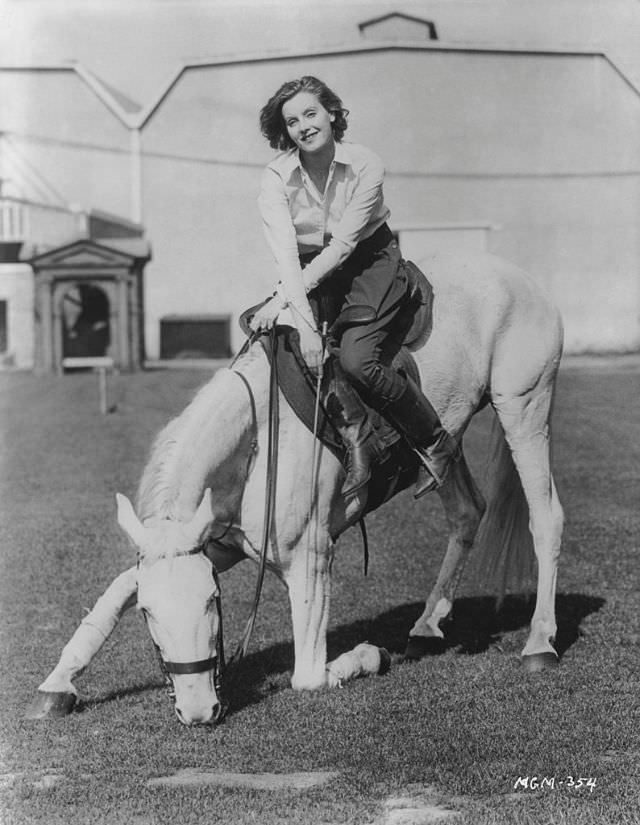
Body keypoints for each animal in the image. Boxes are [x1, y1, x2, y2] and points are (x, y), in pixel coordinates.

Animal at [26, 251, 564, 728]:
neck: (259, 440)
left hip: (523, 406)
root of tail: (522, 279)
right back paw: (428, 626)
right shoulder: (217, 544)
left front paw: (368, 655)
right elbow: (115, 592)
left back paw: (540, 643)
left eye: (212, 601)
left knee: (545, 518)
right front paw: (57, 685)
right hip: (447, 444)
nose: (199, 711)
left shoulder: (310, 559)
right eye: (148, 613)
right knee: (467, 511)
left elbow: (308, 675)